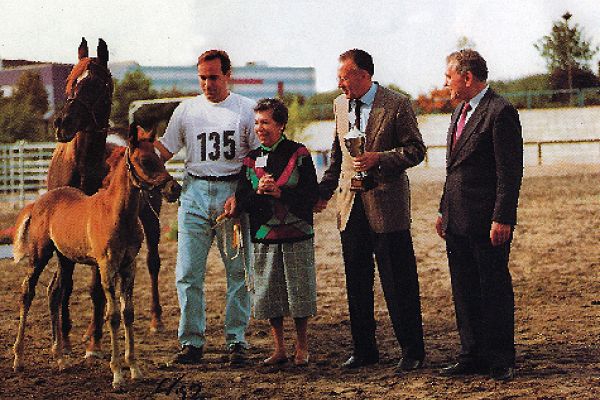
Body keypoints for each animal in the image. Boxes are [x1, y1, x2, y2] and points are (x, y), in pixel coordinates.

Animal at [12, 124, 180, 389]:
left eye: (160, 157)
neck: (116, 213)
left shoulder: (128, 265)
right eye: (145, 160)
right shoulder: (107, 265)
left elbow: (128, 312)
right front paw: (117, 374)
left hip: (64, 258)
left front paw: (135, 369)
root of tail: (38, 201)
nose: (175, 189)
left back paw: (60, 359)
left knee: (54, 291)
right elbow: (113, 315)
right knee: (27, 292)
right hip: (40, 254)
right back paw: (18, 359)